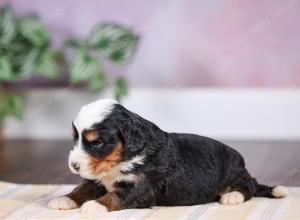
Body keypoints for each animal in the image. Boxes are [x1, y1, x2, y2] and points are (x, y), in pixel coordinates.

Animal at [47, 99, 288, 212]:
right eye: (75, 138)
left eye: (96, 142)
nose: (73, 165)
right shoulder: (97, 180)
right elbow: (81, 188)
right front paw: (64, 199)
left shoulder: (142, 187)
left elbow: (116, 195)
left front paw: (96, 205)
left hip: (233, 171)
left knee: (250, 186)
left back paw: (232, 196)